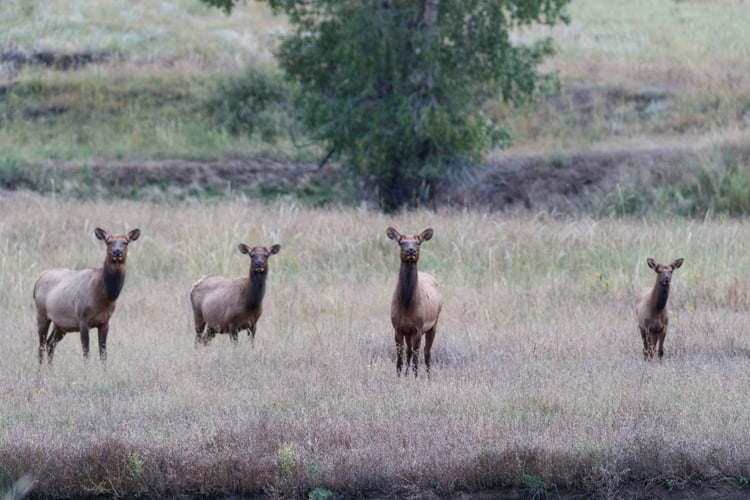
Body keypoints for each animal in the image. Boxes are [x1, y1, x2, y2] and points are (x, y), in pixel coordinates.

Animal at [31, 227, 142, 364]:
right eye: (108, 242)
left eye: (126, 242)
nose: (117, 252)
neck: (104, 296)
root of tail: (37, 282)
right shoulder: (83, 319)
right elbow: (86, 353)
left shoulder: (105, 322)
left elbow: (103, 354)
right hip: (42, 314)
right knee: (41, 346)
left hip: (60, 324)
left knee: (50, 343)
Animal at [390, 226, 444, 376]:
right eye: (401, 243)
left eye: (418, 243)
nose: (411, 250)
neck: (407, 304)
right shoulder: (398, 328)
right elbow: (399, 360)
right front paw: (399, 377)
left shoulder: (418, 328)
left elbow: (416, 359)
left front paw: (416, 378)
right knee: (409, 352)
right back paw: (407, 374)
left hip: (434, 324)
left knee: (426, 353)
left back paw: (428, 377)